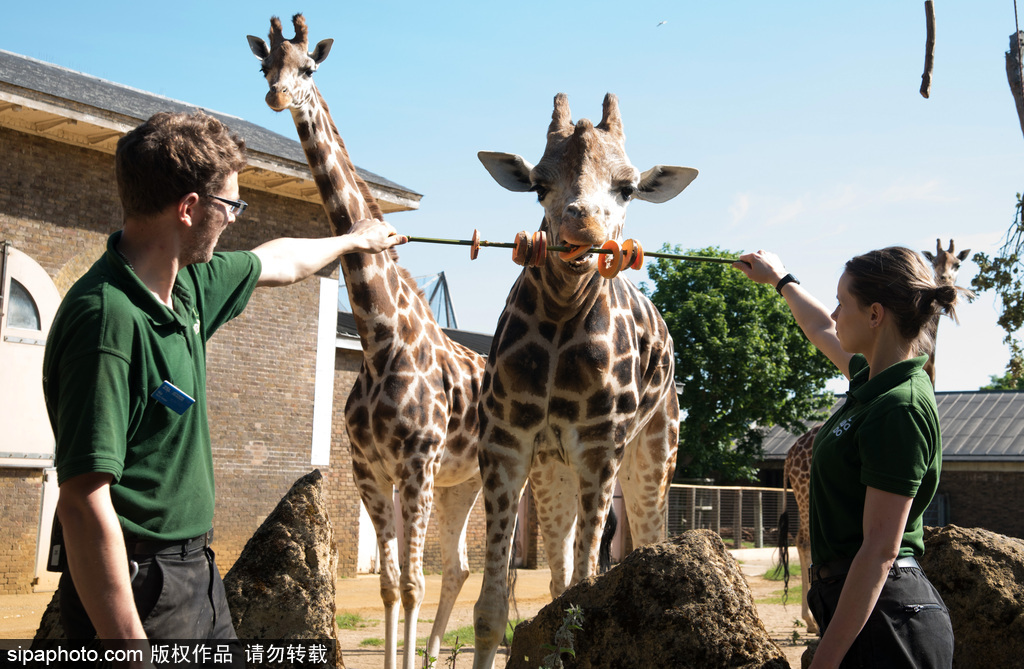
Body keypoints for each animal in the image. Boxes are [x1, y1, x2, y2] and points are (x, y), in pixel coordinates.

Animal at [248, 16, 487, 667]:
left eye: (309, 67)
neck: (381, 339)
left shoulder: (417, 463)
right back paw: (434, 654)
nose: (277, 95)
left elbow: (412, 583)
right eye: (264, 65)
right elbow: (390, 584)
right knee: (461, 567)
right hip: (464, 481)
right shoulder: (370, 469)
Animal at [468, 93, 696, 667]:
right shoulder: (506, 443)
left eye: (628, 187)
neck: (560, 313)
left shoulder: (599, 446)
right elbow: (491, 610)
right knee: (557, 576)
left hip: (652, 456)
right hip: (553, 473)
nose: (583, 225)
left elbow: (583, 597)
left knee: (647, 537)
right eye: (539, 183)